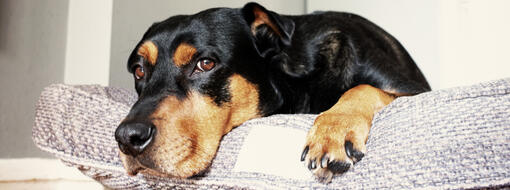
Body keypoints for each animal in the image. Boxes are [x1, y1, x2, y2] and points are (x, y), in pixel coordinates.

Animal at [114, 1, 430, 183]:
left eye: (205, 64)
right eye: (139, 70)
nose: (128, 138)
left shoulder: (414, 90)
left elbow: (362, 87)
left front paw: (333, 133)